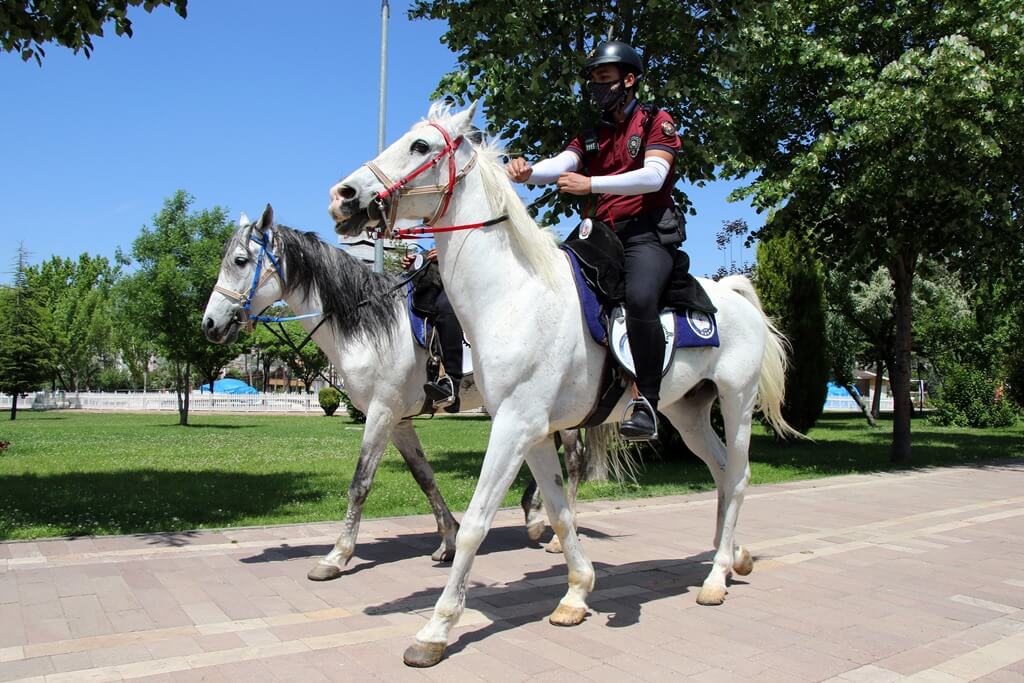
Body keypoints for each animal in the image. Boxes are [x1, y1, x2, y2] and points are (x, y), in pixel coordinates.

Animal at [198, 209, 589, 581]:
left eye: (240, 261)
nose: (210, 325)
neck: (368, 322)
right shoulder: (399, 420)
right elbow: (424, 476)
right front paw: (448, 540)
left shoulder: (381, 412)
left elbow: (360, 483)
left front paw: (336, 556)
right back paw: (534, 514)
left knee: (574, 459)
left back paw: (557, 532)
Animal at [327, 102, 790, 667]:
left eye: (420, 146)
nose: (343, 196)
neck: (515, 295)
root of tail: (734, 295)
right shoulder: (530, 430)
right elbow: (558, 510)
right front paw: (575, 593)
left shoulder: (514, 425)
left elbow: (477, 523)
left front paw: (436, 629)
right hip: (689, 412)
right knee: (722, 474)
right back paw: (735, 558)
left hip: (738, 404)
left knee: (740, 478)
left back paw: (717, 576)